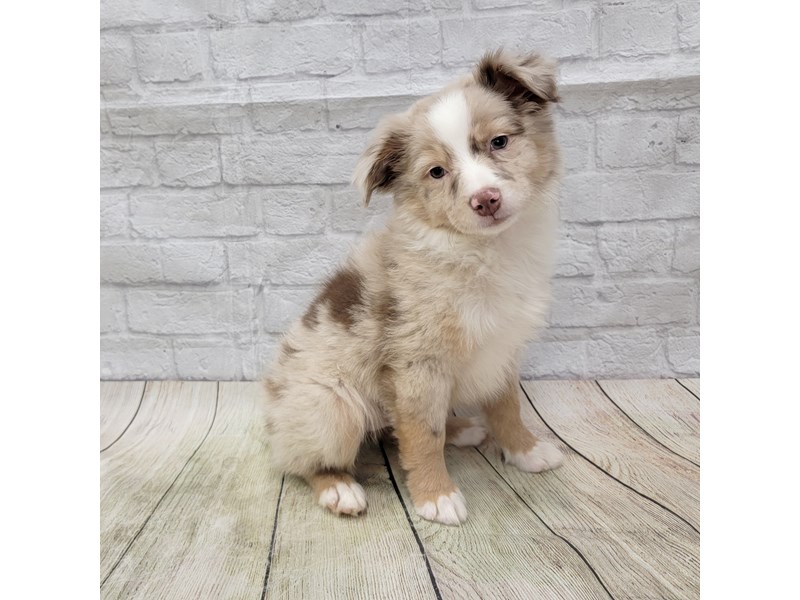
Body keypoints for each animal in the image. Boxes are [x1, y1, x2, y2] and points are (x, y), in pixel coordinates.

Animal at [262, 50, 564, 524]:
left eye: (499, 142)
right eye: (436, 172)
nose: (486, 200)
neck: (484, 252)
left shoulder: (502, 349)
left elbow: (507, 407)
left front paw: (525, 450)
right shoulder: (416, 365)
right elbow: (423, 434)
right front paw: (435, 496)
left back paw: (462, 427)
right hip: (331, 407)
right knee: (301, 461)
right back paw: (339, 488)